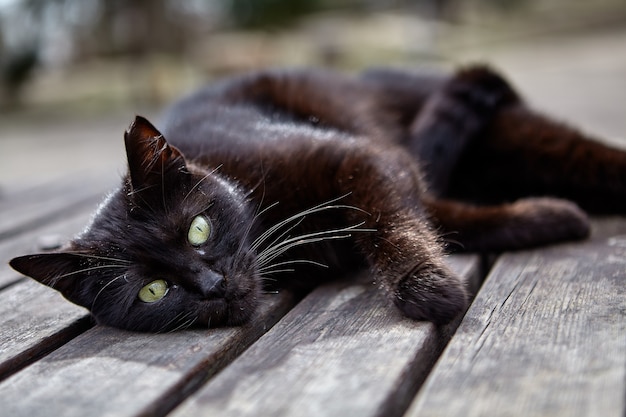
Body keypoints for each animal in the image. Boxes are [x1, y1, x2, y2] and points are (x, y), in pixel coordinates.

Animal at [7, 65, 620, 332]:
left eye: (198, 229)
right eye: (153, 291)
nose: (212, 285)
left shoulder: (362, 158)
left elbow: (389, 223)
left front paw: (424, 286)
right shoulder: (393, 172)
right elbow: (444, 219)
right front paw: (546, 218)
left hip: (522, 137)